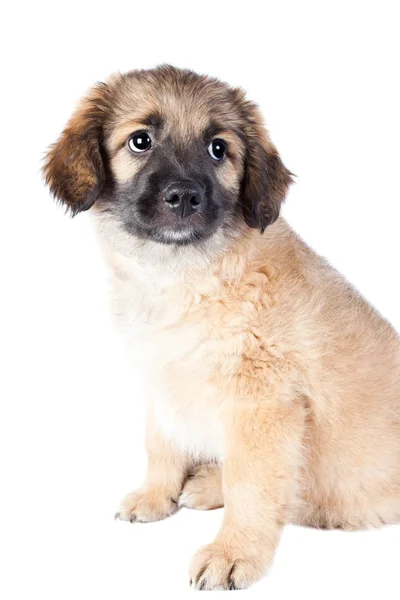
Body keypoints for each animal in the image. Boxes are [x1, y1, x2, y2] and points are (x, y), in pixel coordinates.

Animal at [43, 65, 400, 592]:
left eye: (218, 148)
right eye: (141, 140)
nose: (184, 196)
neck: (187, 274)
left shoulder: (262, 403)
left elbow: (253, 484)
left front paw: (234, 553)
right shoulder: (161, 378)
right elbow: (161, 443)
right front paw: (156, 496)